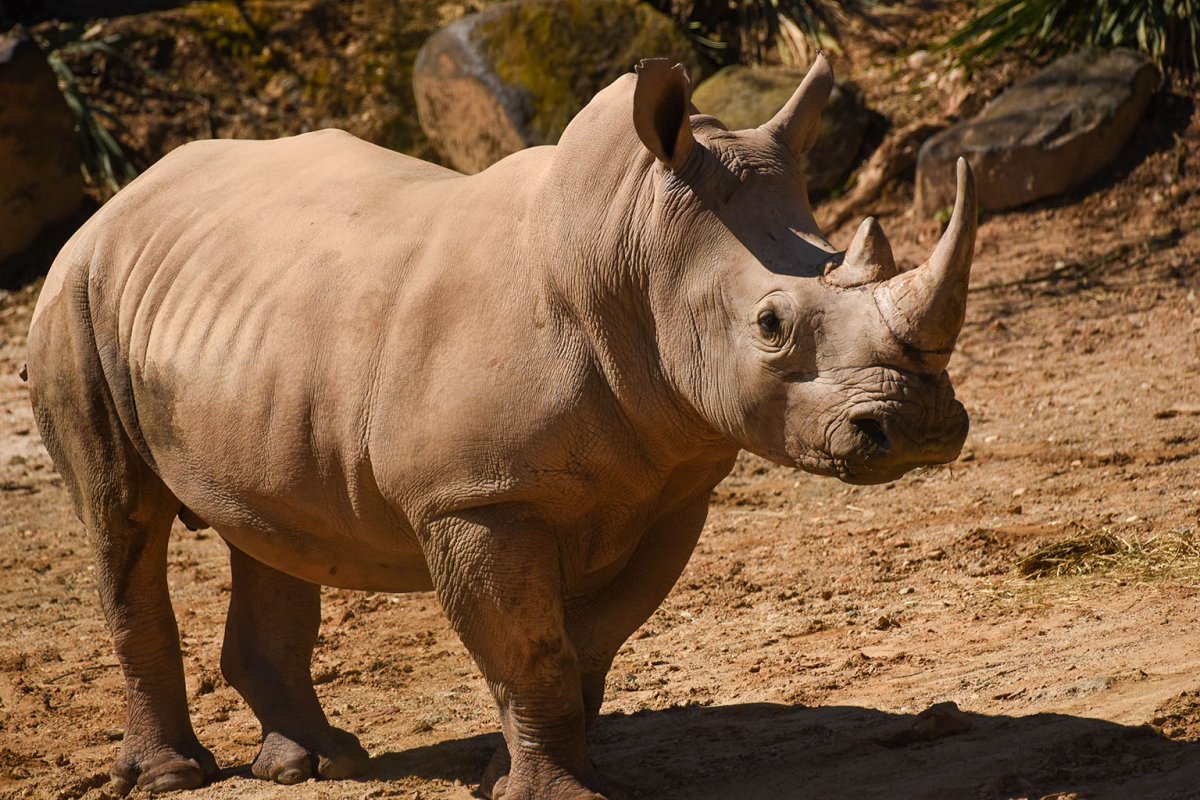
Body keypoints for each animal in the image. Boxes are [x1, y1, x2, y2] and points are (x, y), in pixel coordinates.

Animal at [26, 55, 976, 799]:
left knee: (267, 523)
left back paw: (317, 765)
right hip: (75, 297)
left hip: (245, 327)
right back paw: (175, 778)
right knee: (122, 519)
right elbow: (531, 648)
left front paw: (523, 774)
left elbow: (584, 645)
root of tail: (120, 200)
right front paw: (556, 793)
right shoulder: (475, 496)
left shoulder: (673, 488)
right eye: (771, 326)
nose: (917, 425)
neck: (630, 247)